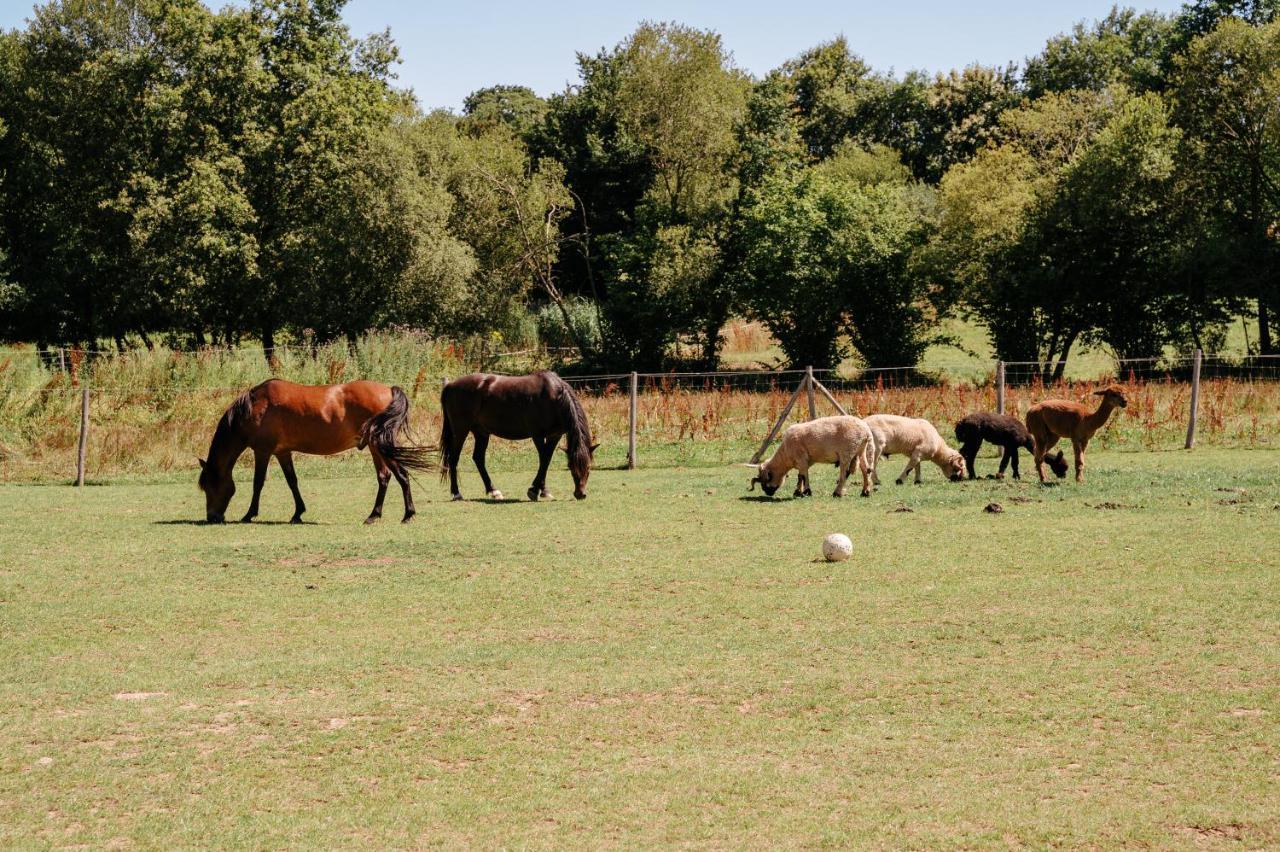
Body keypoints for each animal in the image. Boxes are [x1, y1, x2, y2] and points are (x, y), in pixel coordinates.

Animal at [197, 376, 430, 521]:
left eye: (209, 485)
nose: (212, 517)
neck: (256, 407)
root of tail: (388, 390)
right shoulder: (282, 452)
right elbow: (292, 482)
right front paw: (298, 513)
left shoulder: (262, 452)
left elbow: (258, 484)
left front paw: (249, 514)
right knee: (389, 476)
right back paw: (385, 514)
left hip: (378, 445)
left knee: (394, 475)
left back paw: (397, 515)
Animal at [437, 370, 596, 498]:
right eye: (571, 467)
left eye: (589, 467)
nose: (580, 494)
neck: (554, 397)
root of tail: (450, 385)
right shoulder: (537, 435)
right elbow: (544, 459)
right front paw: (534, 490)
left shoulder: (554, 436)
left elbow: (547, 459)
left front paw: (543, 491)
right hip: (460, 431)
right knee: (454, 459)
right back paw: (456, 493)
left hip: (481, 432)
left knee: (478, 458)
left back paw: (493, 491)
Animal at [747, 411, 875, 493]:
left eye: (765, 481)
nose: (767, 493)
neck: (785, 455)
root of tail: (866, 431)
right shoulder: (805, 461)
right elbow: (800, 476)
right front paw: (798, 491)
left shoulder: (801, 459)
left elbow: (804, 475)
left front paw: (806, 491)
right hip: (861, 449)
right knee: (866, 469)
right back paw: (865, 492)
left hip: (847, 451)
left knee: (844, 472)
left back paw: (837, 493)